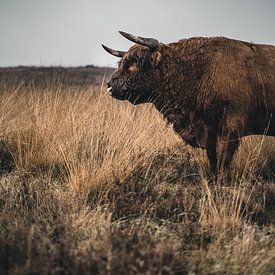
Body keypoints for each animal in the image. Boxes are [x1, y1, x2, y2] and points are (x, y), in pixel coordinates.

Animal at [102, 31, 275, 177]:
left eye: (133, 64)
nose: (110, 86)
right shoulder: (210, 133)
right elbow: (213, 162)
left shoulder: (230, 130)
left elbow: (222, 162)